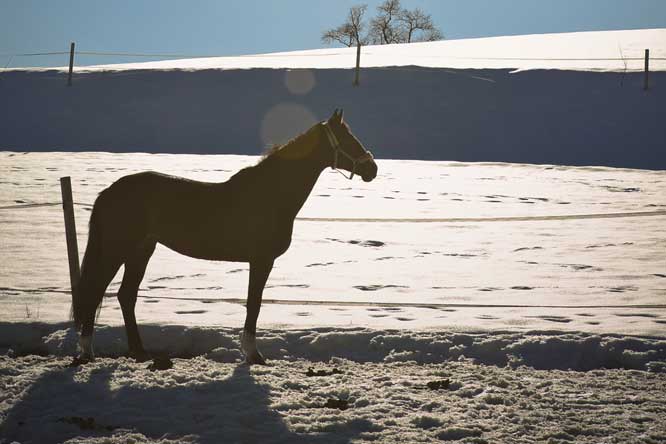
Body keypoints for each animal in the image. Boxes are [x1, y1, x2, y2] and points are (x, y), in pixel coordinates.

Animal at [72, 110, 376, 364]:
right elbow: (254, 304)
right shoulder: (261, 260)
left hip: (141, 251)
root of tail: (109, 192)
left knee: (126, 296)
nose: (372, 169)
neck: (272, 194)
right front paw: (253, 355)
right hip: (117, 250)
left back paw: (139, 351)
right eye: (348, 139)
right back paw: (87, 352)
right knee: (97, 291)